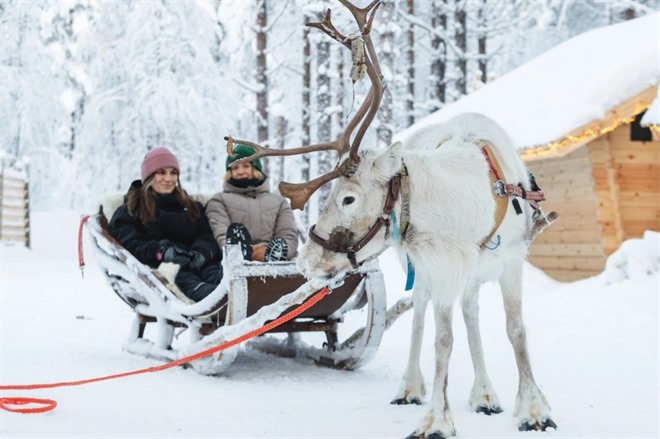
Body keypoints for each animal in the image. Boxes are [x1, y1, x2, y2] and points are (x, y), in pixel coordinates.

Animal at [225, 1, 558, 438]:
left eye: (348, 197)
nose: (306, 261)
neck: (472, 212)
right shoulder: (438, 266)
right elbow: (442, 338)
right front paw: (436, 419)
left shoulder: (508, 262)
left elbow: (515, 331)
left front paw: (535, 410)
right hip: (423, 273)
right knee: (421, 317)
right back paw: (412, 387)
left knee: (470, 314)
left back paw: (485, 394)